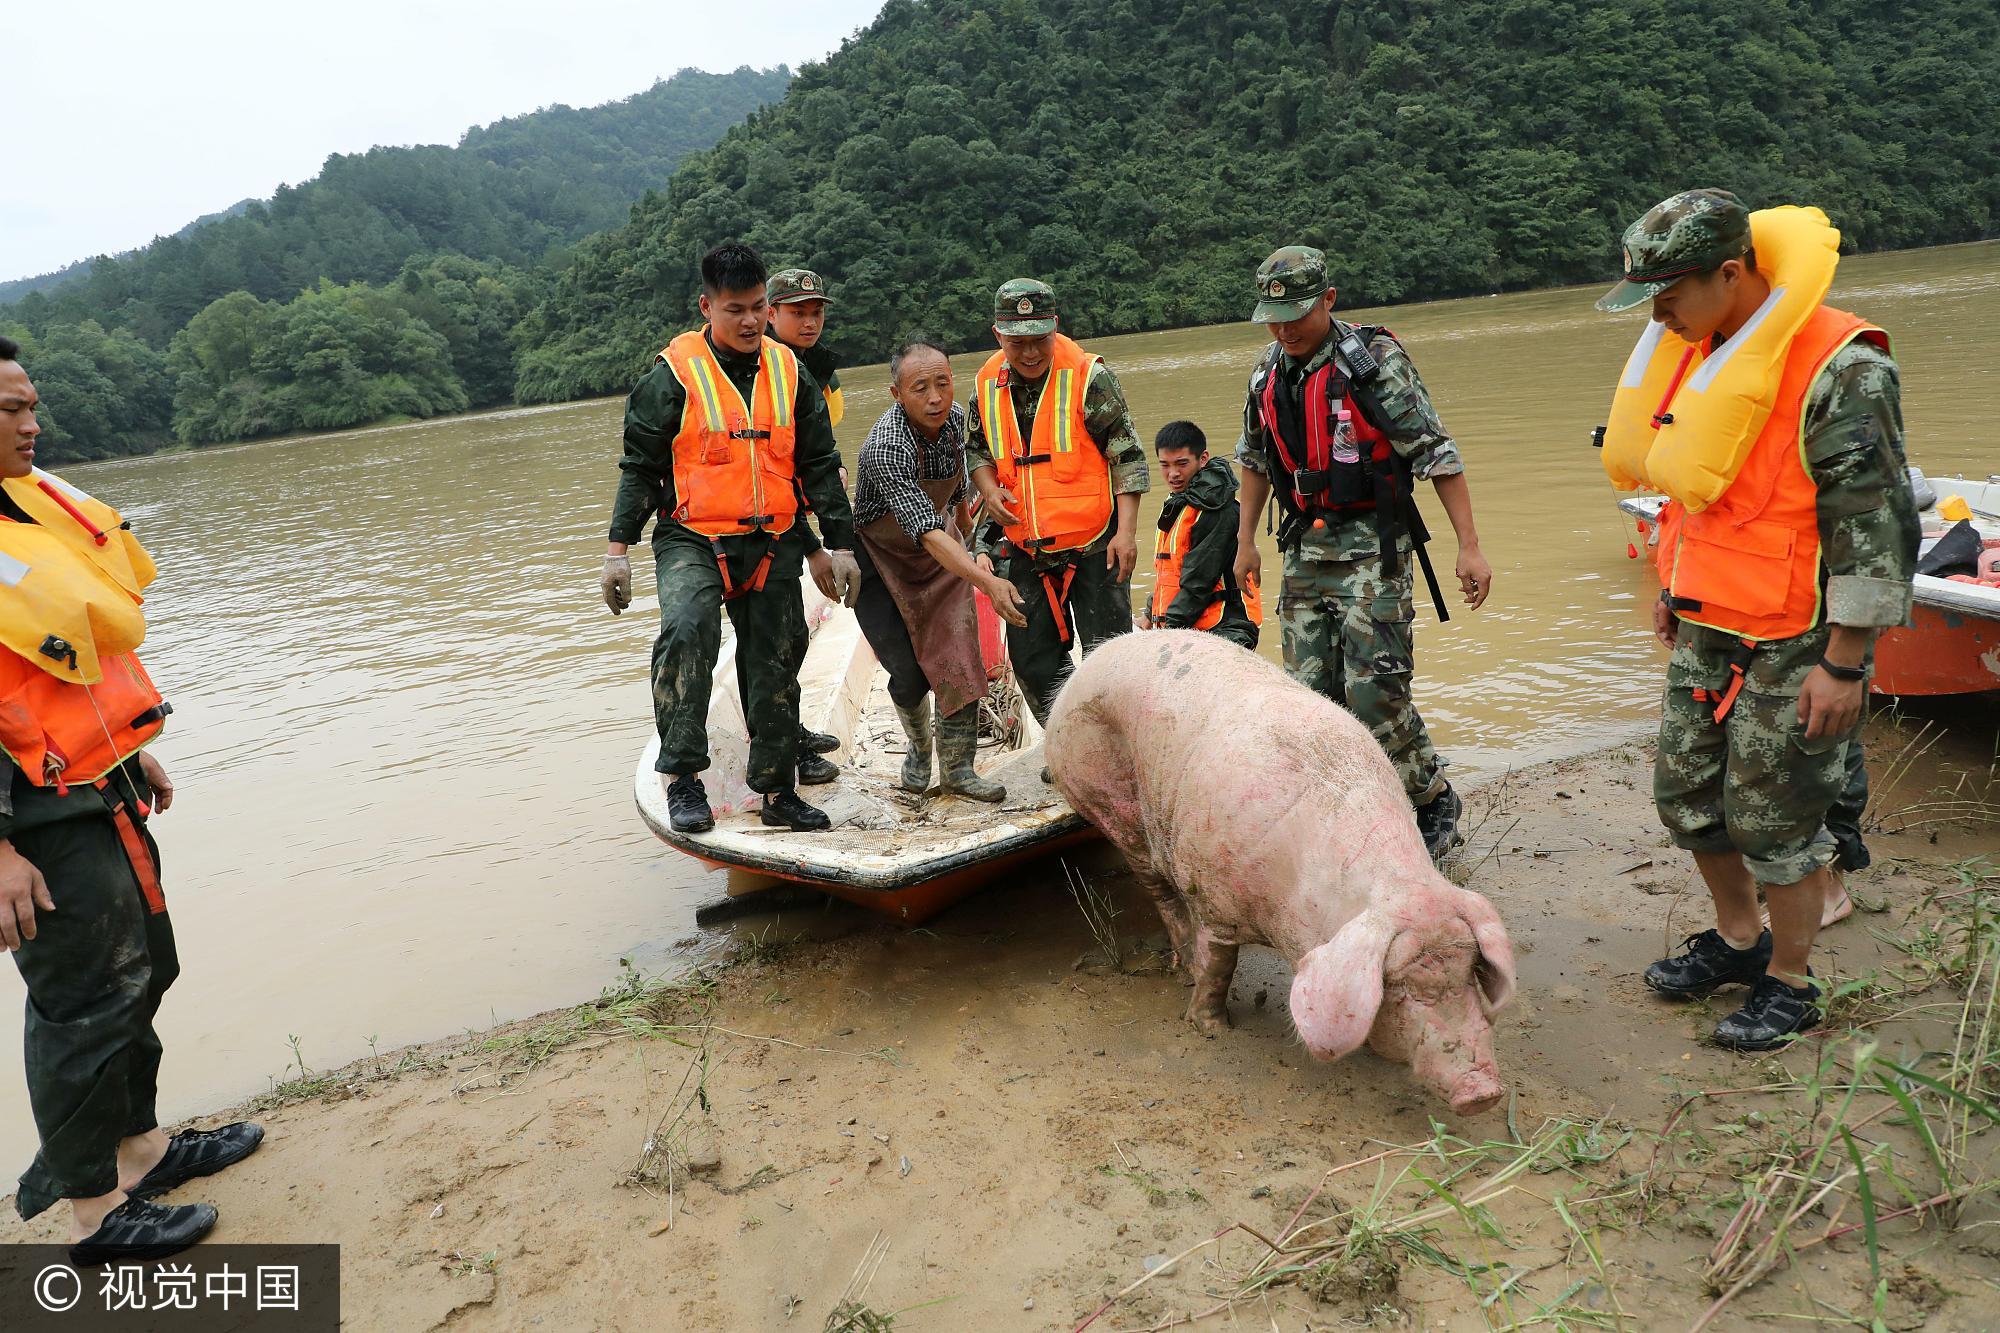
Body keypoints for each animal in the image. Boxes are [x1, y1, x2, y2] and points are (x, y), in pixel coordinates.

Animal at [1048, 624, 1512, 1112]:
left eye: (1470, 974)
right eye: (1404, 986)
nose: (1483, 1091)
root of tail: (1083, 670)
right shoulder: (1212, 896)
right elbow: (1218, 966)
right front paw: (1211, 1027)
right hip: (1107, 802)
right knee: (1160, 892)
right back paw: (1182, 966)